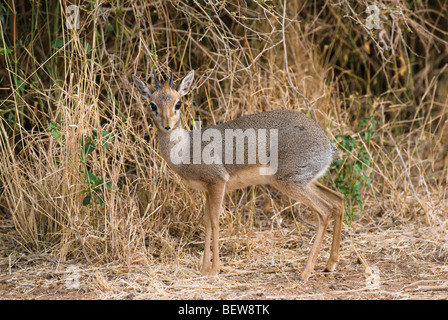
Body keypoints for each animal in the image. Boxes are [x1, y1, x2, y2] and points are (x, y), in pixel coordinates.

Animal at [131, 70, 344, 280]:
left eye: (178, 103)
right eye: (152, 104)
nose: (167, 125)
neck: (186, 149)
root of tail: (328, 146)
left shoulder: (218, 183)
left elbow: (215, 222)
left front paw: (214, 270)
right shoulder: (206, 190)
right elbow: (206, 222)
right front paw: (204, 269)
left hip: (291, 182)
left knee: (324, 211)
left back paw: (306, 271)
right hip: (306, 181)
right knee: (338, 201)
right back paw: (330, 264)